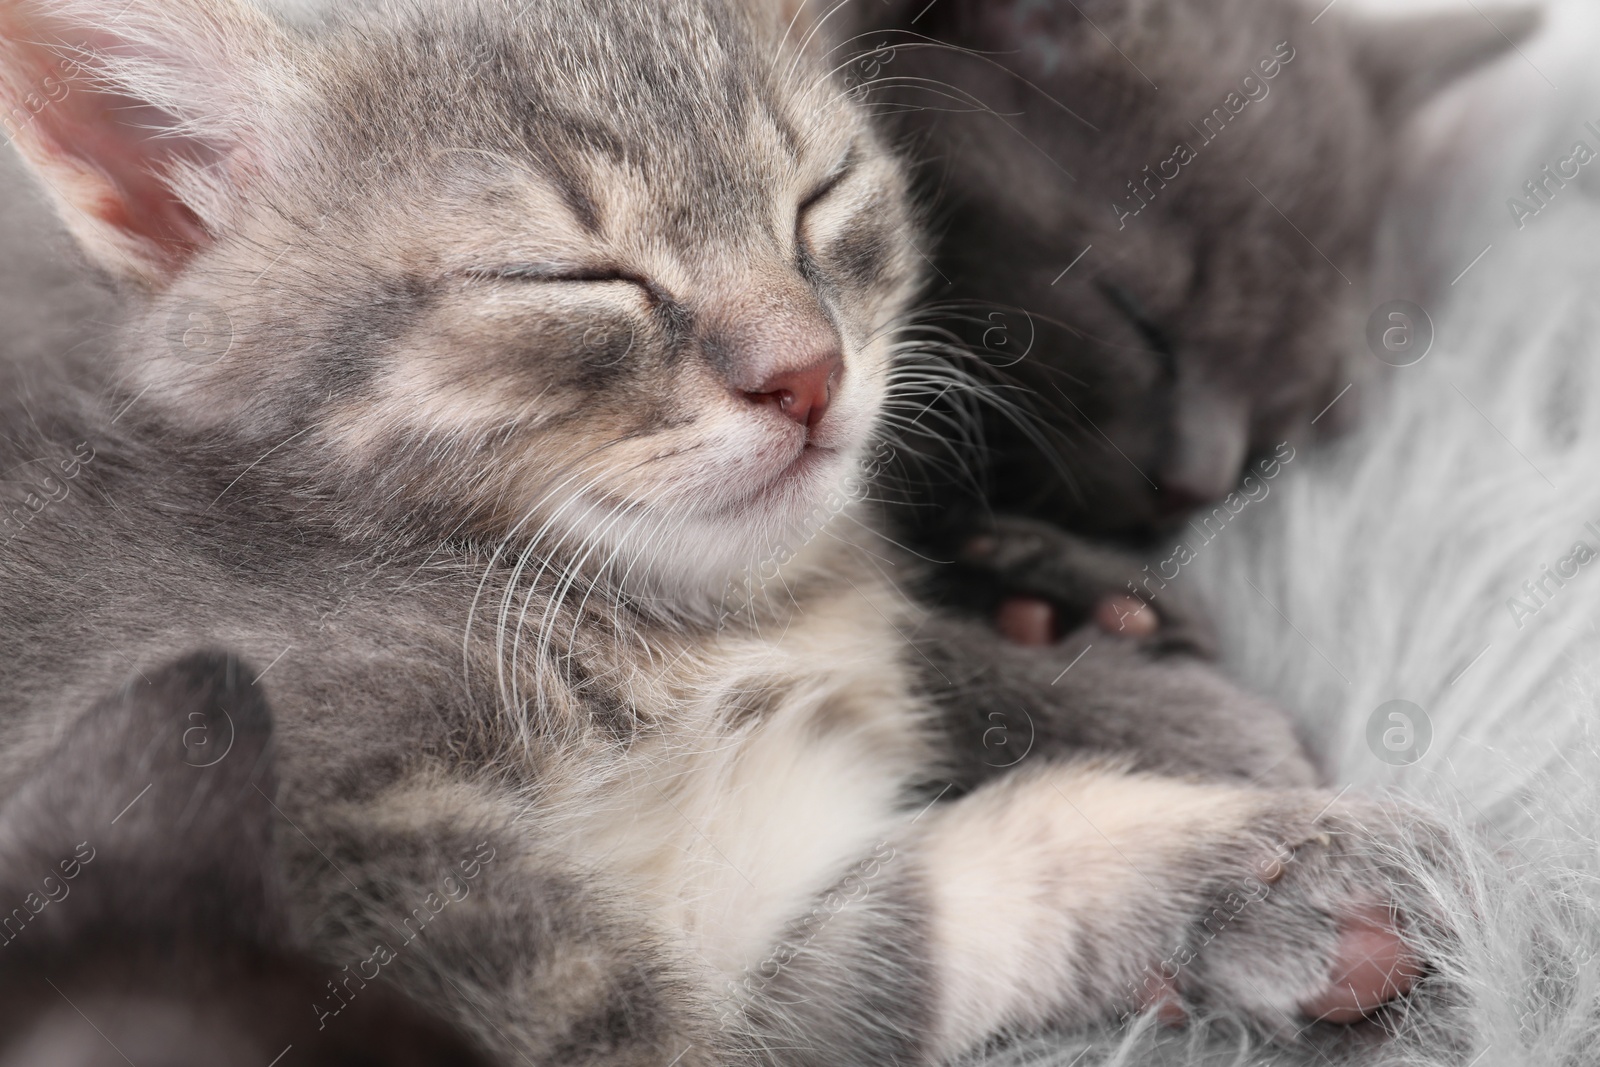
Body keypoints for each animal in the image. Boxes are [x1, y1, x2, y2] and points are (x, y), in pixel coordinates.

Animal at [0, 0, 1446, 1062]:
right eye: (570, 275)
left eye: (821, 196)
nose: (806, 371)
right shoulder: (331, 821)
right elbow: (678, 1025)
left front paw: (1254, 871)